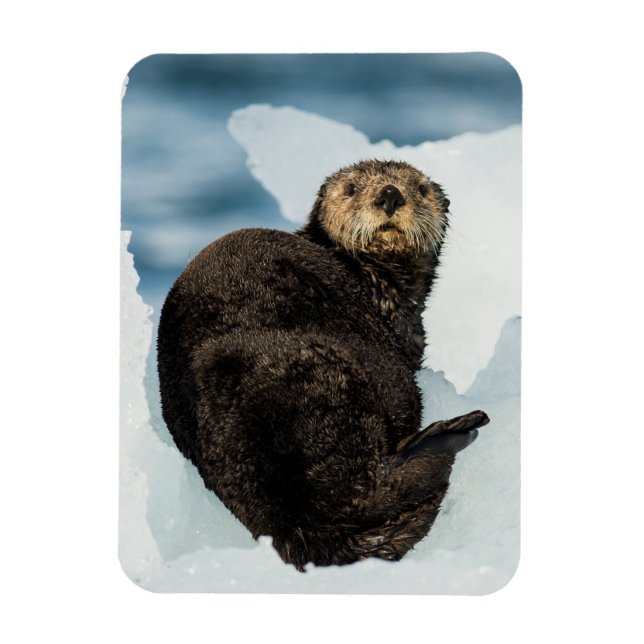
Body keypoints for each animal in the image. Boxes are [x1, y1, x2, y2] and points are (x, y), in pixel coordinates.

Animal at [157, 160, 489, 571]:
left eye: (420, 189)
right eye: (351, 189)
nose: (390, 195)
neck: (377, 283)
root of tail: (290, 523)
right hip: (339, 382)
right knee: (373, 487)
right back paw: (454, 430)